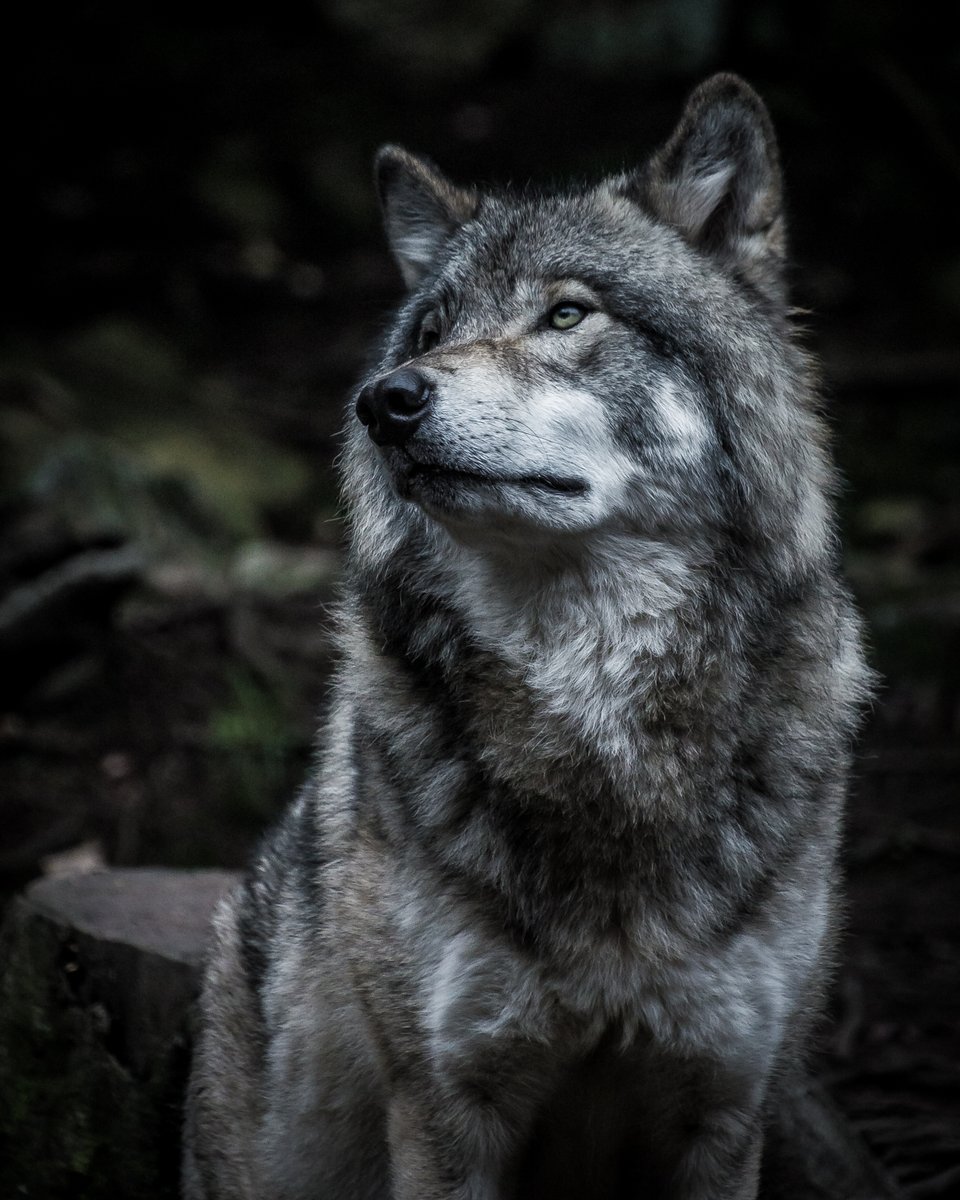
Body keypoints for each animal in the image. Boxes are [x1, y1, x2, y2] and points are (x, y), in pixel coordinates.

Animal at [183, 73, 870, 1199]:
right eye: (429, 333)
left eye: (566, 313)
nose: (386, 400)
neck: (597, 723)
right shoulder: (445, 1111)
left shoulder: (726, 1111)